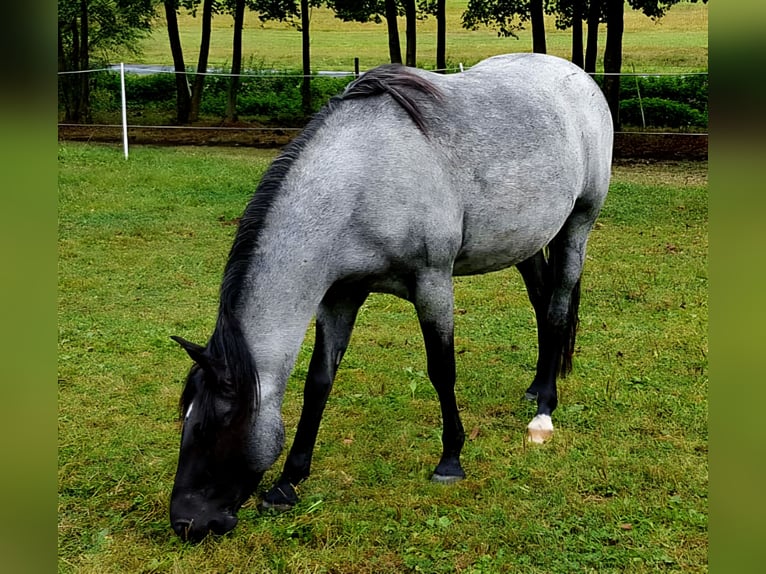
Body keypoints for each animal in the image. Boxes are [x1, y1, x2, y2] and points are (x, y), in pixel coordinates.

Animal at [169, 52, 613, 542]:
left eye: (213, 425)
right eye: (184, 420)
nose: (185, 521)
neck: (365, 175)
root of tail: (577, 77)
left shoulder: (432, 283)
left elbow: (442, 370)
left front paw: (450, 461)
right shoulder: (340, 296)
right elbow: (318, 382)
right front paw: (288, 481)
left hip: (578, 225)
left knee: (556, 310)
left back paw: (543, 412)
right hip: (525, 241)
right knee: (539, 302)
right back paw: (535, 387)